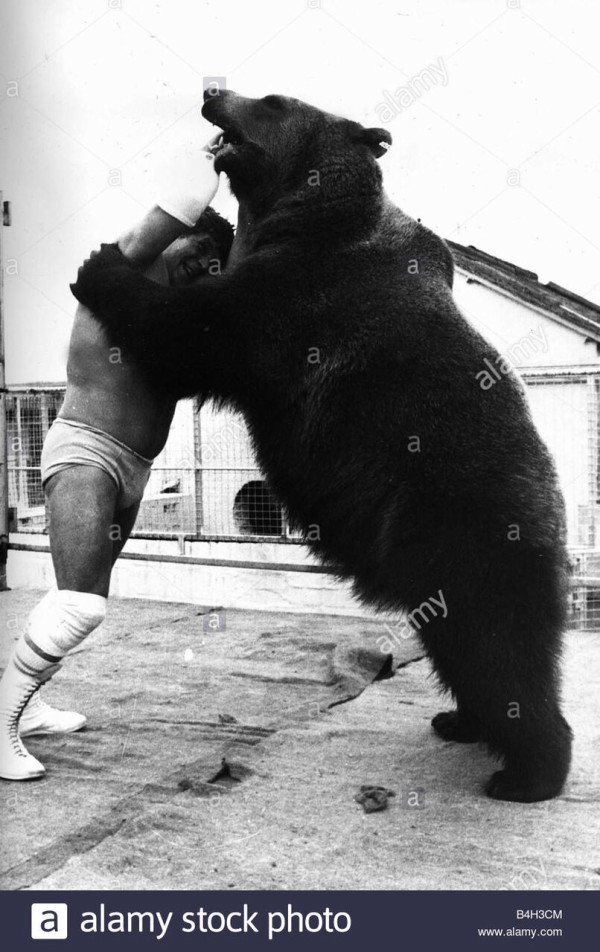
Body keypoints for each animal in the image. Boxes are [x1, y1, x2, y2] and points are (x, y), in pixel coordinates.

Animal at [71, 89, 572, 802]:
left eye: (272, 100)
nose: (212, 92)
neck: (306, 214)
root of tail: (554, 515)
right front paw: (206, 231)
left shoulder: (299, 302)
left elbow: (194, 333)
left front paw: (101, 263)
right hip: (437, 565)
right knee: (460, 646)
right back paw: (461, 721)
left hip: (469, 528)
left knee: (501, 648)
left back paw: (527, 773)